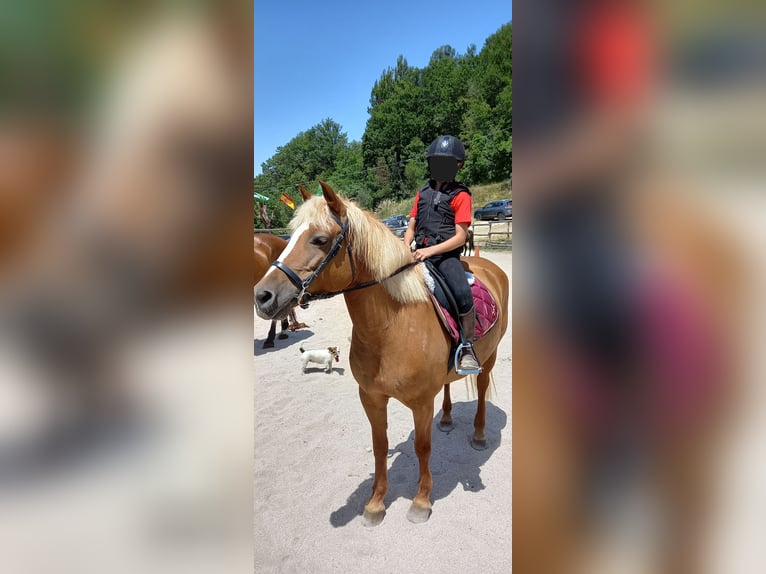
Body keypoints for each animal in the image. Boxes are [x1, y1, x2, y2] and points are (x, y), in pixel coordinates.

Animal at [255, 180, 512, 528]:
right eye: (290, 235)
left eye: (319, 239)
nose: (262, 296)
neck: (391, 327)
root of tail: (489, 265)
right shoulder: (371, 397)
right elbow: (380, 447)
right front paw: (375, 504)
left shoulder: (421, 402)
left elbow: (422, 447)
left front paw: (420, 501)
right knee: (447, 384)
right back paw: (446, 418)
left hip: (490, 357)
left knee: (483, 389)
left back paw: (480, 435)